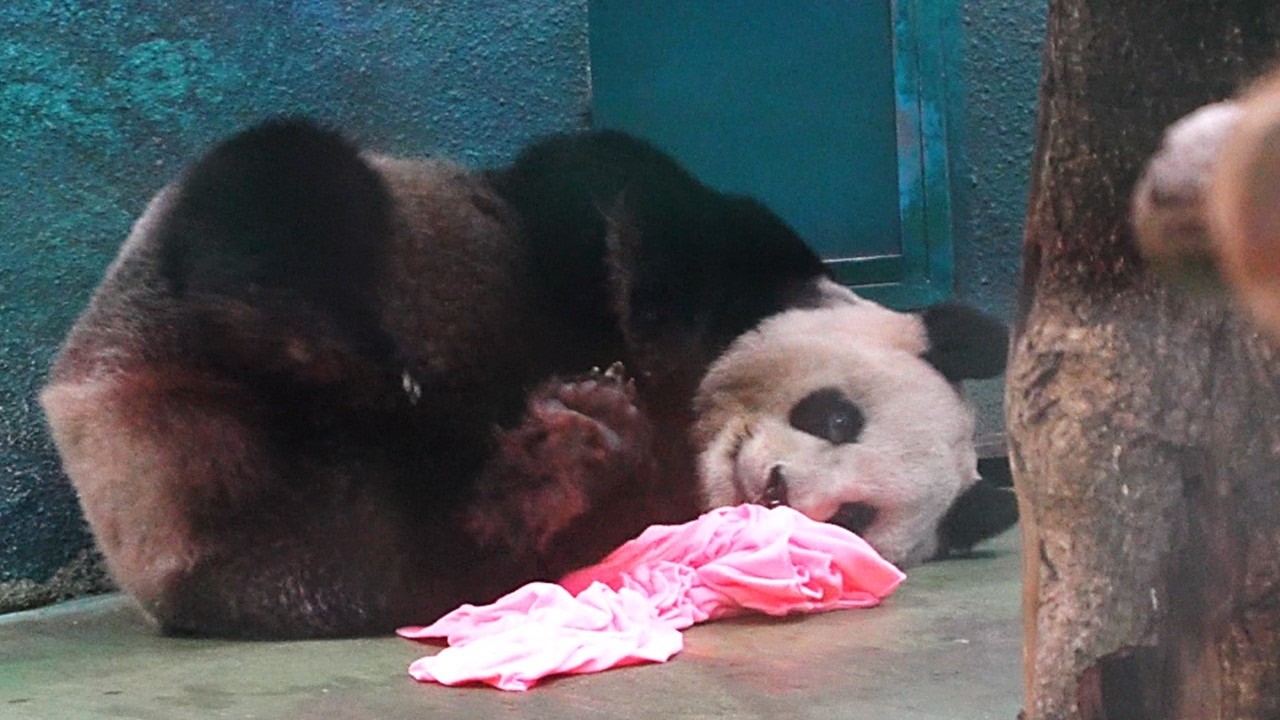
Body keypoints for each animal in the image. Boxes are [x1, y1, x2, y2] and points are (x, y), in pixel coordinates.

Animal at [40, 119, 1015, 638]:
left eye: (852, 520)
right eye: (836, 417)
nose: (773, 489)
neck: (690, 433)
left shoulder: (656, 503)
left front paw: (601, 430)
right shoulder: (676, 240)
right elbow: (615, 199)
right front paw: (648, 334)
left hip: (304, 553)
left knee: (431, 557)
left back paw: (560, 459)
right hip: (171, 292)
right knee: (278, 192)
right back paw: (331, 352)